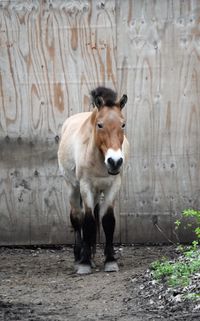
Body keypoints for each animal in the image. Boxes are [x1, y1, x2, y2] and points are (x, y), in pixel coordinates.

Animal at [57, 86, 129, 274]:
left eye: (123, 124)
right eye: (100, 124)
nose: (115, 161)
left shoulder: (113, 186)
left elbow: (108, 221)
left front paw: (110, 260)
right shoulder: (86, 186)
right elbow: (87, 222)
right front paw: (84, 263)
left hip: (97, 192)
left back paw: (92, 255)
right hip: (73, 188)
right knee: (77, 218)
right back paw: (79, 257)